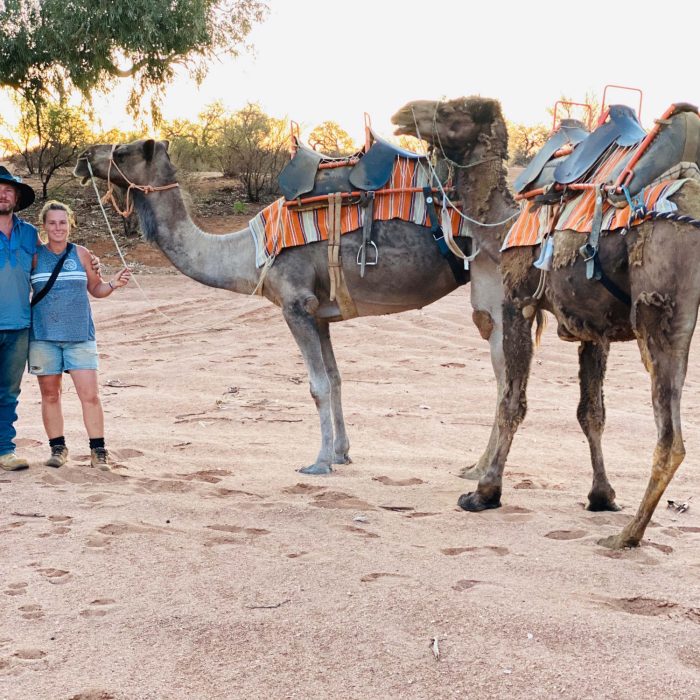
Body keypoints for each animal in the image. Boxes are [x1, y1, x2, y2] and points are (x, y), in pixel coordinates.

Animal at [72, 137, 508, 476]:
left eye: (122, 152)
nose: (82, 157)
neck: (250, 253)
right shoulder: (321, 313)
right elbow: (335, 379)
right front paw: (341, 453)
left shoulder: (295, 305)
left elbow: (316, 386)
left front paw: (319, 462)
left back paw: (480, 470)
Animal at [394, 95, 700, 548]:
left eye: (454, 112)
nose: (402, 114)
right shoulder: (595, 328)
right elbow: (591, 413)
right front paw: (602, 496)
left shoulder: (517, 300)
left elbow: (512, 401)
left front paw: (484, 492)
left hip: (661, 304)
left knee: (671, 437)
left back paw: (626, 536)